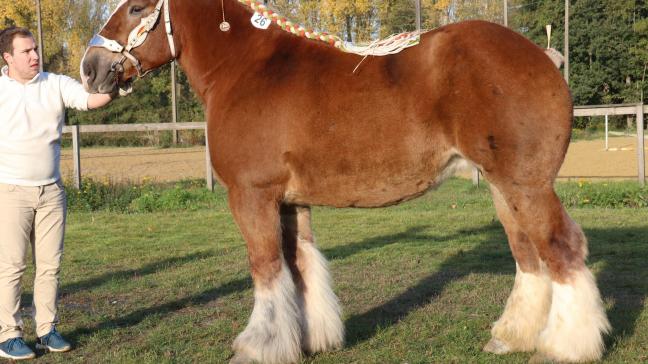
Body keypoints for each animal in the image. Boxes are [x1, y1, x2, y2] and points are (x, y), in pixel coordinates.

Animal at [79, 1, 608, 362]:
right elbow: (299, 267)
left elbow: (266, 268)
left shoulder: (251, 196)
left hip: (526, 186)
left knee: (561, 249)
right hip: (503, 188)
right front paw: (311, 339)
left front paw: (258, 346)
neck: (247, 67)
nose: (90, 68)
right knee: (529, 256)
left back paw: (567, 346)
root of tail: (543, 56)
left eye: (137, 7)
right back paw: (511, 336)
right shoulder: (289, 201)